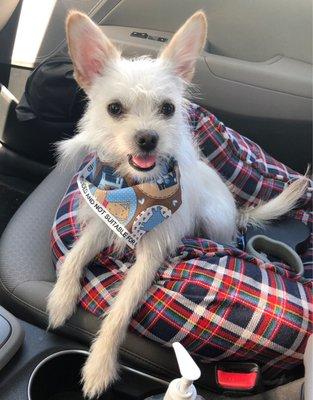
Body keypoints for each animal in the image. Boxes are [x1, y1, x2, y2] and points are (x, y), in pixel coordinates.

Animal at [47, 10, 308, 398]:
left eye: (168, 109)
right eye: (114, 109)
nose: (147, 138)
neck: (137, 192)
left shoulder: (151, 254)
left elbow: (121, 309)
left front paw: (99, 365)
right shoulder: (106, 221)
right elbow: (75, 256)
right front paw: (61, 299)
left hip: (213, 220)